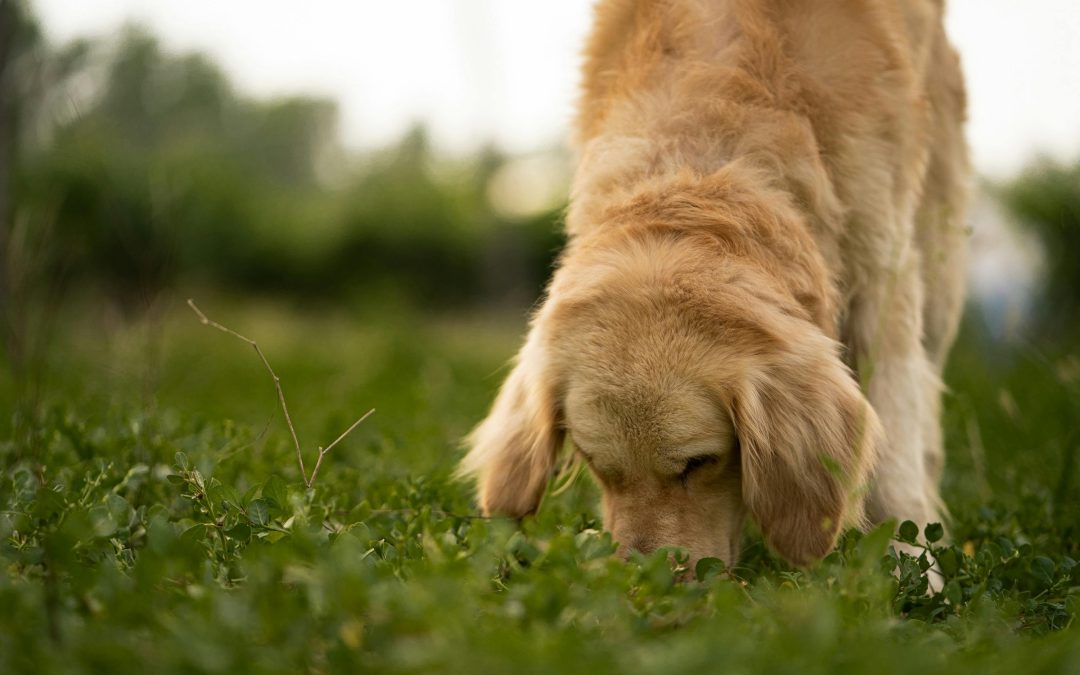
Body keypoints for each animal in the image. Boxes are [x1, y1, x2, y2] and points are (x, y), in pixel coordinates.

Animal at [460, 0, 967, 570]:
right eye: (596, 463)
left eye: (699, 463)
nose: (642, 577)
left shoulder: (883, 270)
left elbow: (897, 448)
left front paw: (912, 565)